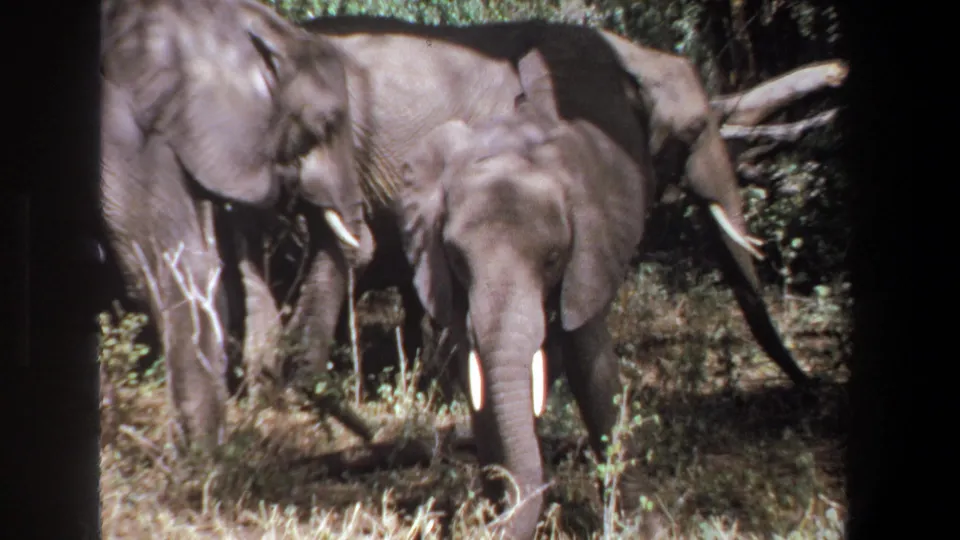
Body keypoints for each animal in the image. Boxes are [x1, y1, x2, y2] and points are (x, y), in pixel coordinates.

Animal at [394, 48, 655, 538]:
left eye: (553, 258)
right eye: (456, 258)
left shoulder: (589, 254)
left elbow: (594, 372)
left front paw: (636, 526)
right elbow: (478, 378)